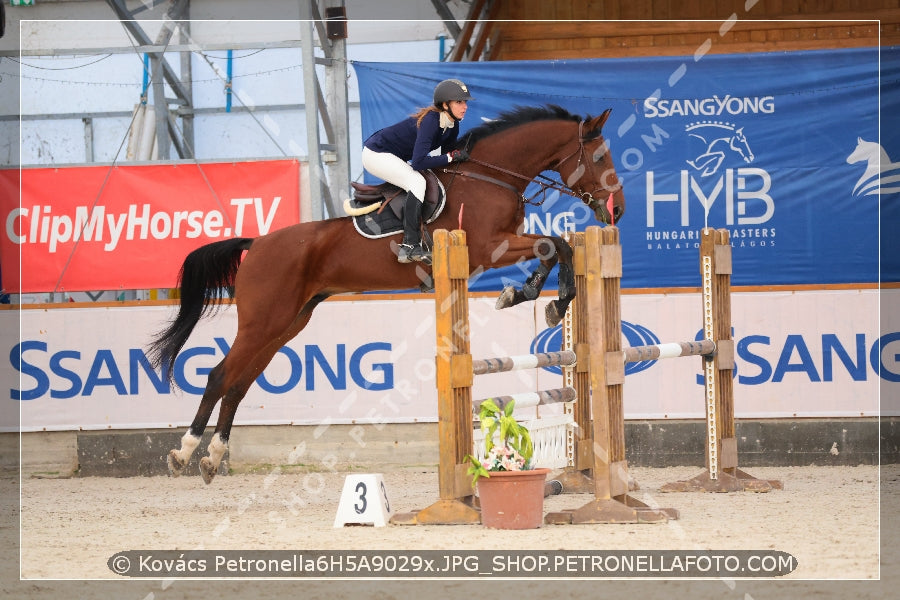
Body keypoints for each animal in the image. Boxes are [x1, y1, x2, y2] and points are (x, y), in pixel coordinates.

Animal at [148, 105, 624, 486]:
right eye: (600, 156)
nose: (616, 210)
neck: (491, 174)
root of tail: (257, 243)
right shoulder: (489, 246)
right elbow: (553, 244)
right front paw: (544, 298)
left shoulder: (502, 245)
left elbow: (553, 246)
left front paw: (534, 297)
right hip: (263, 321)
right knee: (218, 377)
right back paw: (183, 454)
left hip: (285, 325)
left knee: (238, 385)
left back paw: (211, 459)